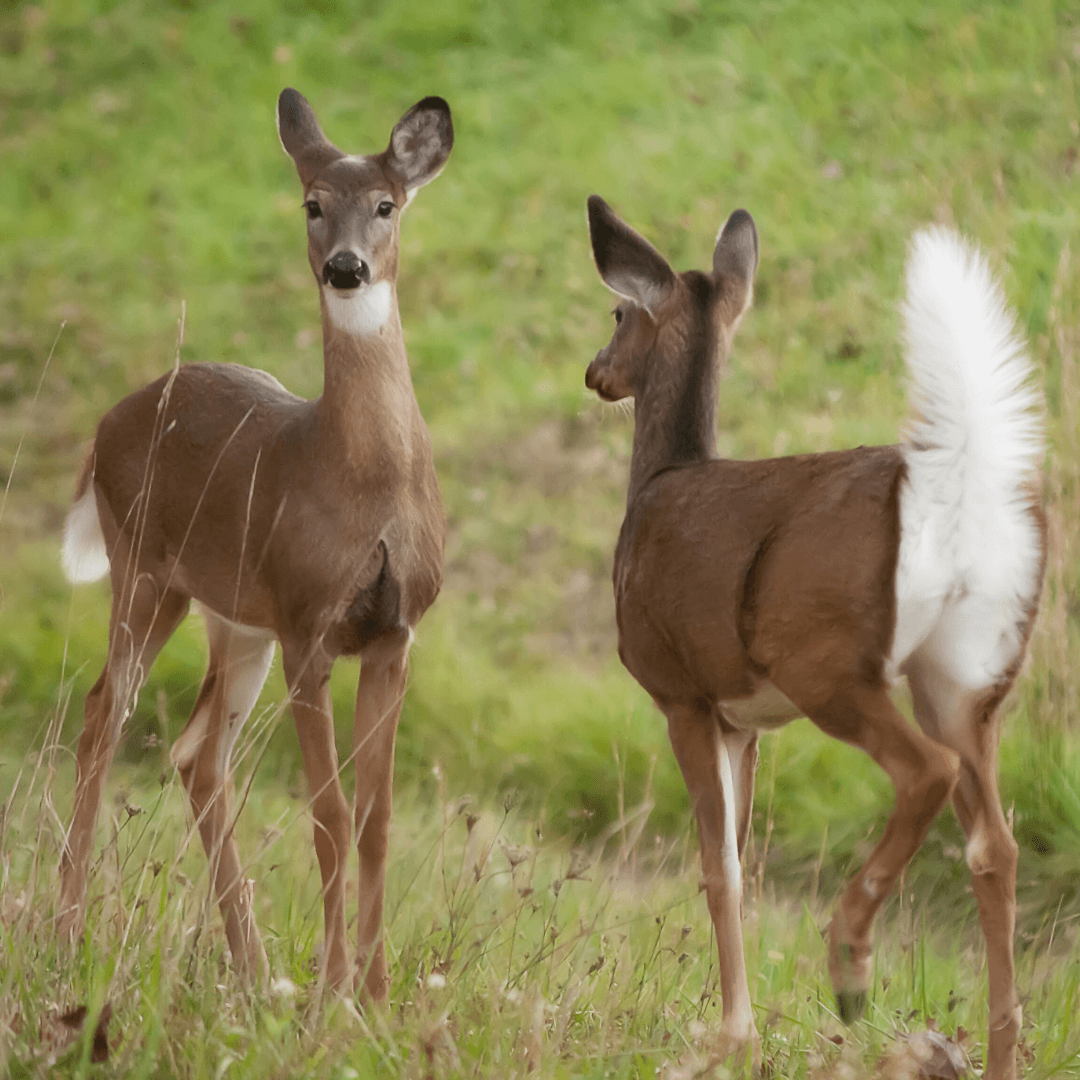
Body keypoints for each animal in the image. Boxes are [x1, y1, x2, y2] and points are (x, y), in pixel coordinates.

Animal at [56, 88, 453, 997]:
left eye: (386, 205)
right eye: (312, 203)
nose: (346, 267)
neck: (364, 482)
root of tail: (107, 423)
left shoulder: (394, 632)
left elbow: (377, 819)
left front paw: (376, 994)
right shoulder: (309, 622)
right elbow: (330, 813)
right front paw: (335, 993)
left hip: (237, 620)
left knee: (198, 755)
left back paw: (251, 965)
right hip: (146, 570)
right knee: (103, 718)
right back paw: (67, 928)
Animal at [587, 194, 1041, 1080]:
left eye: (618, 312)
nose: (595, 372)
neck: (658, 480)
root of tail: (955, 500)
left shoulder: (683, 693)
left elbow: (720, 867)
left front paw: (731, 1036)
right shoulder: (745, 720)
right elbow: (738, 855)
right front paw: (735, 1025)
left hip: (829, 663)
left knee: (924, 773)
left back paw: (850, 962)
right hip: (965, 679)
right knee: (994, 846)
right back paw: (996, 1048)